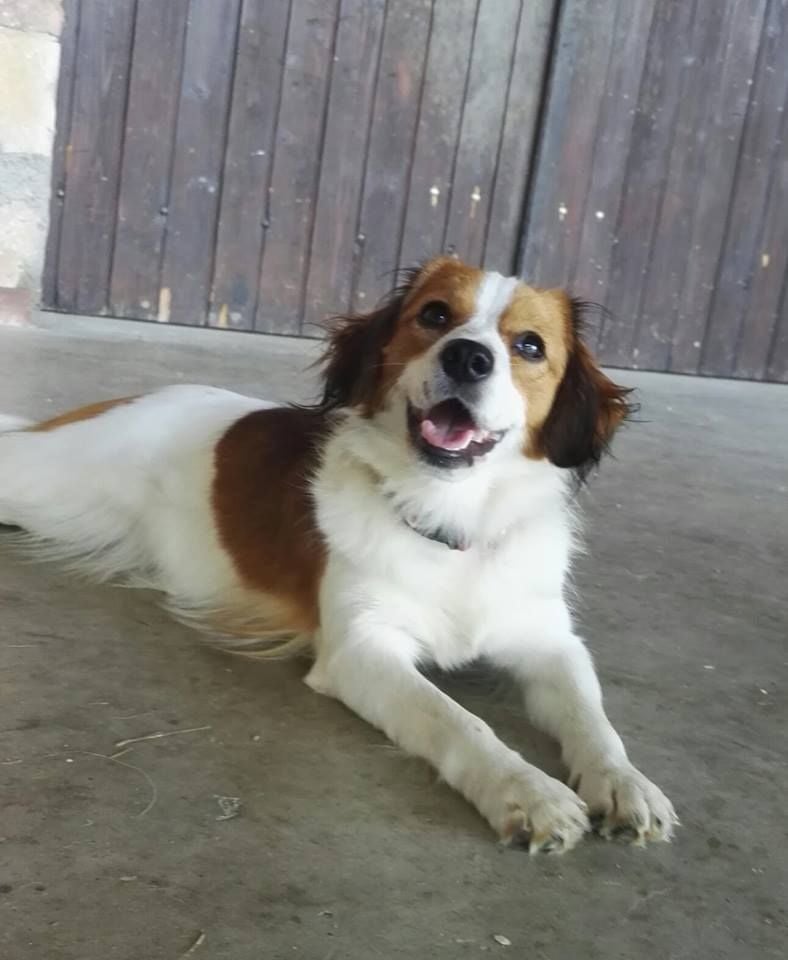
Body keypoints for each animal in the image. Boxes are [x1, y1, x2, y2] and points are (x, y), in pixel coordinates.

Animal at [0, 256, 677, 853]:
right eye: (435, 314)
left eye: (531, 346)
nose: (468, 357)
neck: (448, 522)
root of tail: (129, 402)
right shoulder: (363, 650)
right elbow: (458, 720)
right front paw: (527, 791)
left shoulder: (549, 642)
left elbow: (591, 716)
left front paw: (625, 782)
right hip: (48, 481)